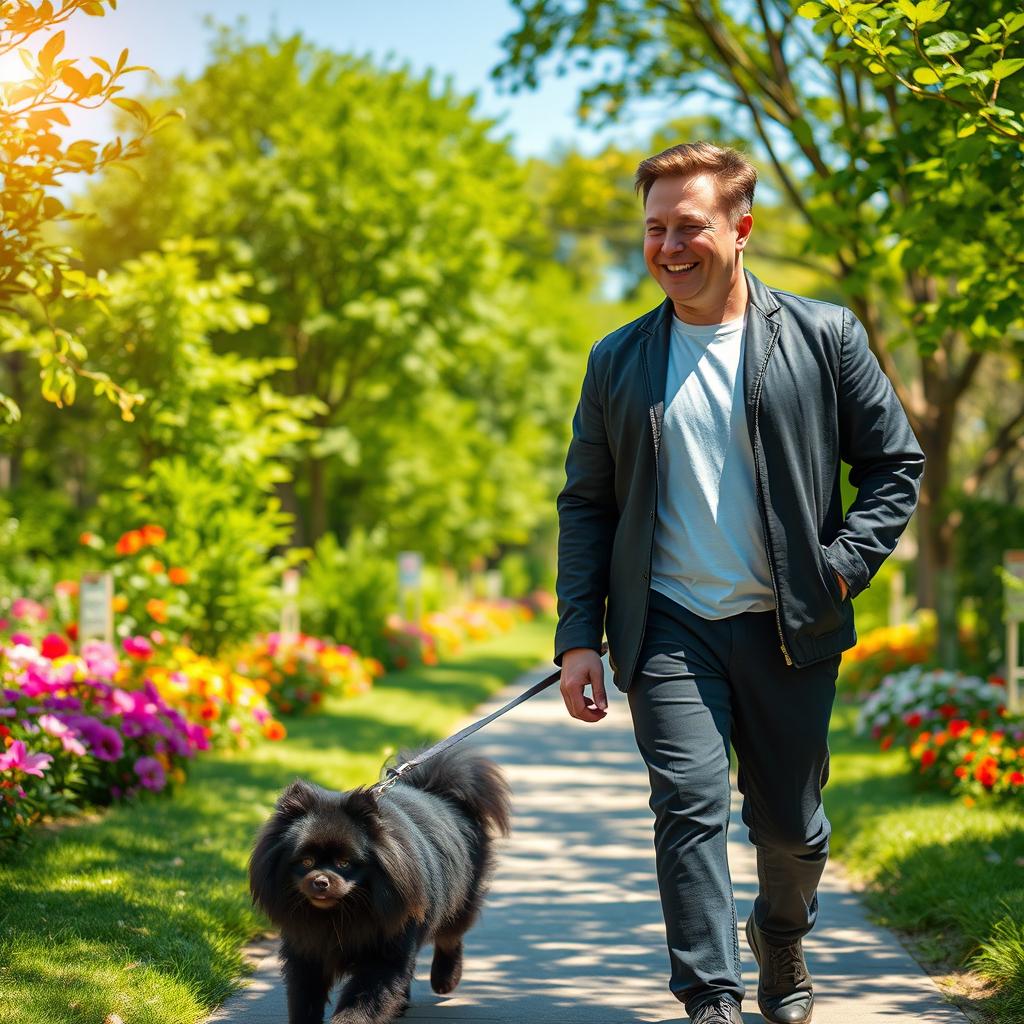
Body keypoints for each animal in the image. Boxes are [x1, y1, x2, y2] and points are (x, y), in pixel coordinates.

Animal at [247, 745, 512, 1024]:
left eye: (344, 863)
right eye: (306, 861)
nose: (320, 881)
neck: (340, 914)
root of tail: (440, 791)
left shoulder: (386, 949)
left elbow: (362, 1001)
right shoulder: (307, 950)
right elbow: (304, 998)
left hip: (459, 900)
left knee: (450, 936)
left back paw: (444, 980)